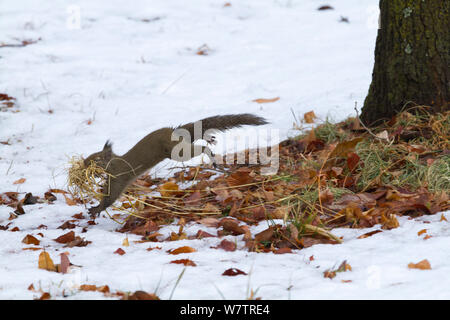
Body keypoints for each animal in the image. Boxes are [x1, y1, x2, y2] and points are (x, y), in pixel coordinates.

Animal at [82, 113, 268, 218]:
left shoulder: (118, 175)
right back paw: (208, 138)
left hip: (175, 152)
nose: (83, 163)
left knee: (197, 149)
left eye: (95, 159)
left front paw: (96, 209)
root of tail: (173, 131)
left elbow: (111, 196)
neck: (113, 162)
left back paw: (209, 150)